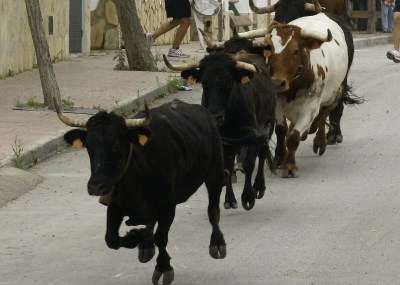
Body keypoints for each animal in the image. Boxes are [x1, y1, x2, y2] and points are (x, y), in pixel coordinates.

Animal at [56, 99, 227, 284]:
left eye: (116, 146)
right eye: (88, 146)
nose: (95, 186)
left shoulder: (168, 206)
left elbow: (161, 238)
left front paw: (163, 267)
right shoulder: (115, 205)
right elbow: (111, 239)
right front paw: (136, 237)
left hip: (215, 172)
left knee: (213, 210)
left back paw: (217, 243)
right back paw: (145, 243)